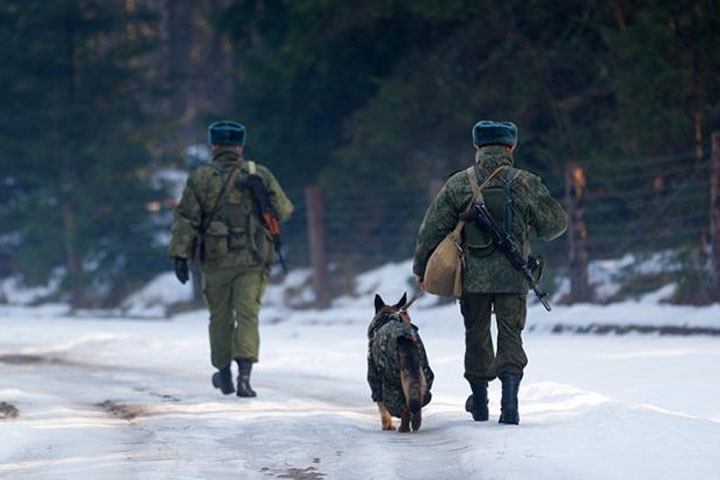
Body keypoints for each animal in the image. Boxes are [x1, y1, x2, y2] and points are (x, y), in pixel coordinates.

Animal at [366, 292, 434, 432]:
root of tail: (404, 339)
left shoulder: (375, 378)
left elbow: (381, 406)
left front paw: (387, 425)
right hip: (423, 375)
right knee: (417, 401)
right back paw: (415, 423)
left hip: (391, 381)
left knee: (403, 408)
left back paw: (403, 428)